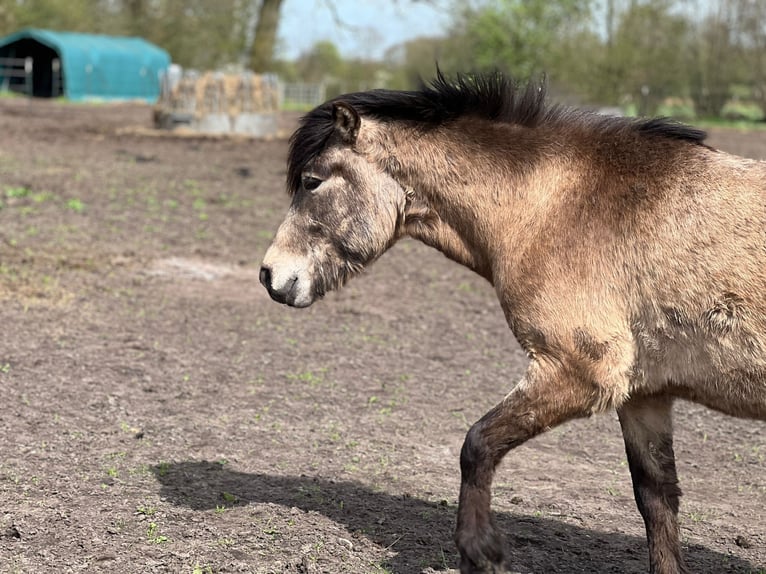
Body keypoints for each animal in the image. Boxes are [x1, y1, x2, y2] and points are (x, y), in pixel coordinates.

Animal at [259, 71, 766, 574]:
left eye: (312, 181)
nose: (269, 274)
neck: (555, 206)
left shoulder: (579, 372)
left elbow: (477, 444)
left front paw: (479, 551)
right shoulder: (645, 396)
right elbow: (657, 500)